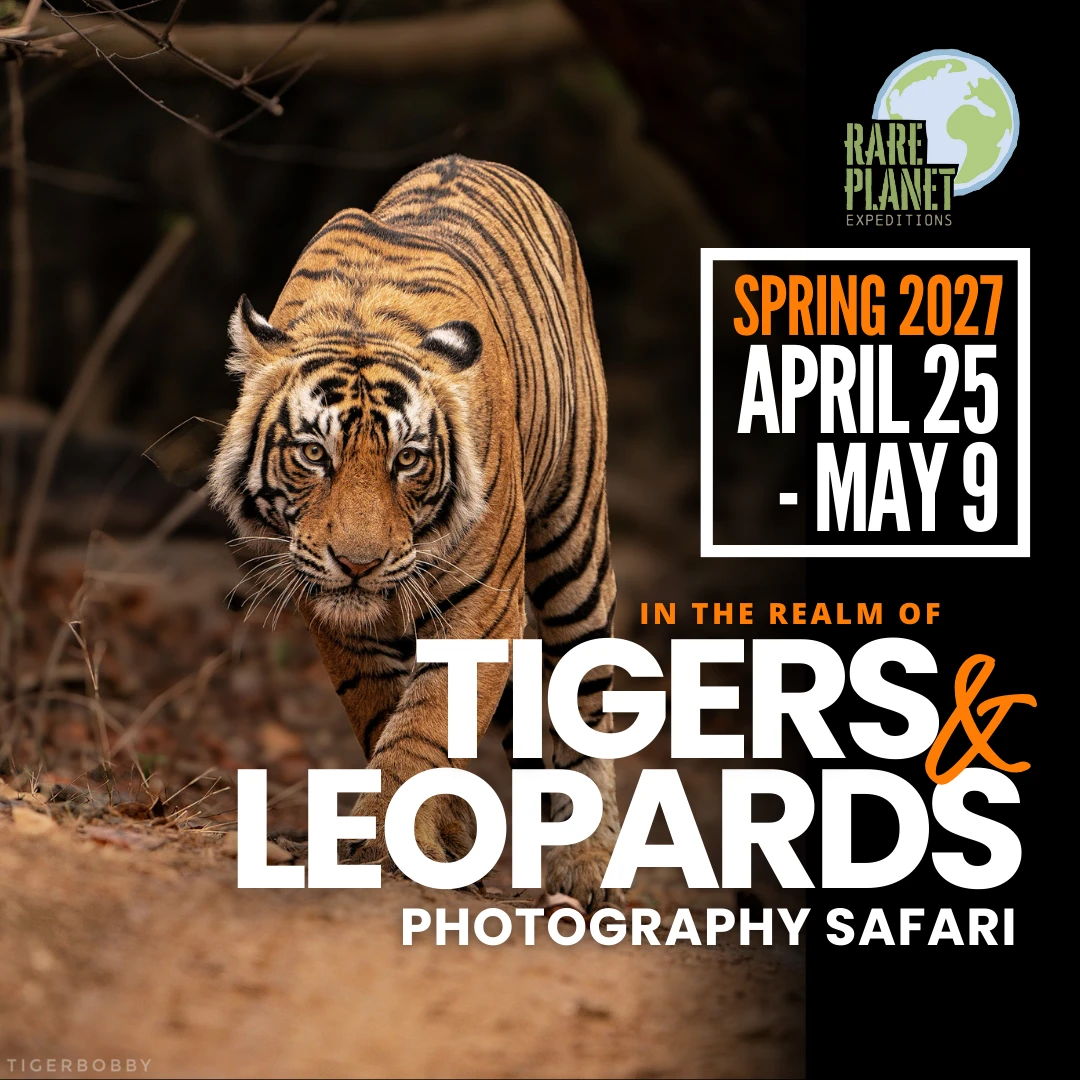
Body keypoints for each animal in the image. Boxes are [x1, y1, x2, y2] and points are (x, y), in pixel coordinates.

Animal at [209, 154, 621, 910]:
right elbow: (387, 710)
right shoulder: (335, 615)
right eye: (313, 454)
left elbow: (432, 715)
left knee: (583, 706)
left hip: (574, 548)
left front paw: (392, 843)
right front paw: (441, 835)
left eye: (407, 460)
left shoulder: (486, 606)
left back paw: (584, 873)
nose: (359, 563)